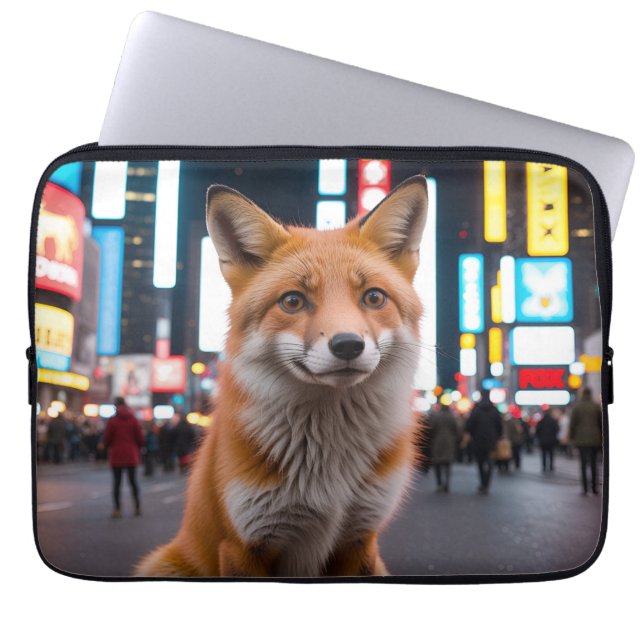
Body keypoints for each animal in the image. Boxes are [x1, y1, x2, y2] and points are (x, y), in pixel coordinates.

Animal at [134, 174, 429, 577]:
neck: (328, 461)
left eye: (373, 298)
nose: (348, 345)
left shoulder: (360, 538)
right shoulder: (242, 545)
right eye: (293, 301)